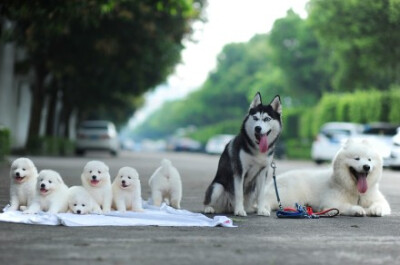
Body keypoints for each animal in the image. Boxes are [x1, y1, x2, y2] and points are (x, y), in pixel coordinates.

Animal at [264, 139, 392, 216]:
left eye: (369, 159)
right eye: (357, 158)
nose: (366, 167)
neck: (356, 192)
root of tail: (272, 183)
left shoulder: (379, 199)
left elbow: (380, 204)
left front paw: (375, 210)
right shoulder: (332, 202)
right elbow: (348, 206)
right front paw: (358, 209)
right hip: (287, 198)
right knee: (269, 201)